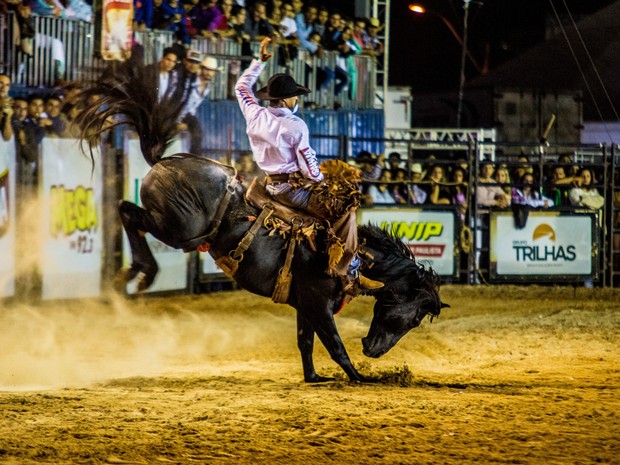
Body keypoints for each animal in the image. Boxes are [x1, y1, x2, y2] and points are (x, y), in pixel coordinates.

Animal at [75, 59, 448, 382]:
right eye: (415, 317)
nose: (373, 350)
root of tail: (164, 161)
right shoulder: (319, 305)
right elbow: (335, 346)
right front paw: (359, 377)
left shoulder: (304, 306)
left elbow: (305, 342)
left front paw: (313, 378)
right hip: (182, 231)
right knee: (129, 213)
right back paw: (143, 272)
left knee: (127, 210)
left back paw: (134, 274)